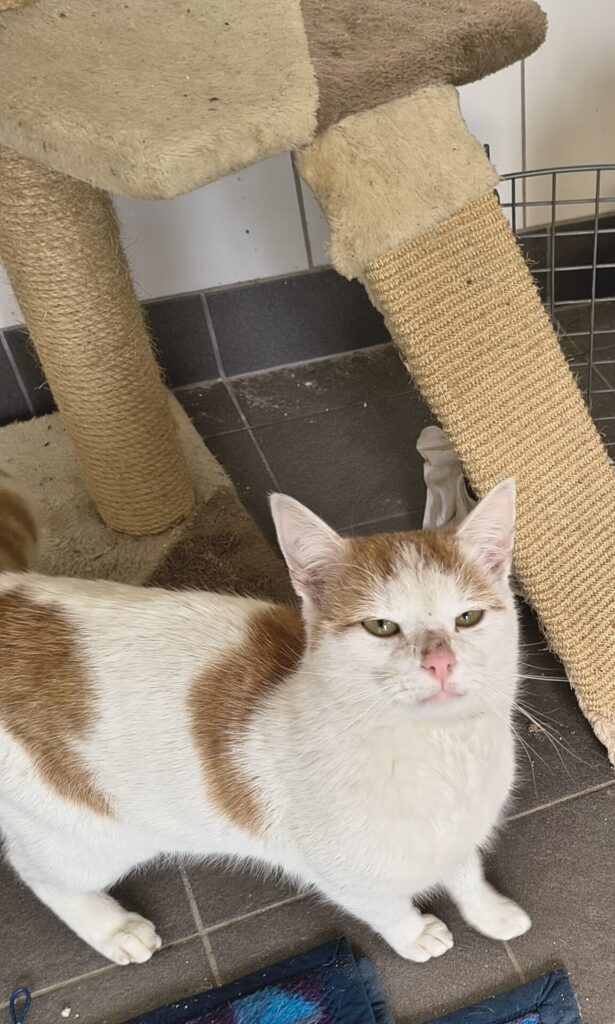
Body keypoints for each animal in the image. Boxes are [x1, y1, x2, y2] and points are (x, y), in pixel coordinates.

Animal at [0, 473, 530, 967]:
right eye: (380, 626)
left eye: (468, 619)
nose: (440, 662)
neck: (442, 755)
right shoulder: (341, 873)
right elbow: (384, 906)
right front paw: (415, 934)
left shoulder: (459, 831)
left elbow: (465, 870)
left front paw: (489, 911)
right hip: (86, 835)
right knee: (37, 873)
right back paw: (112, 929)